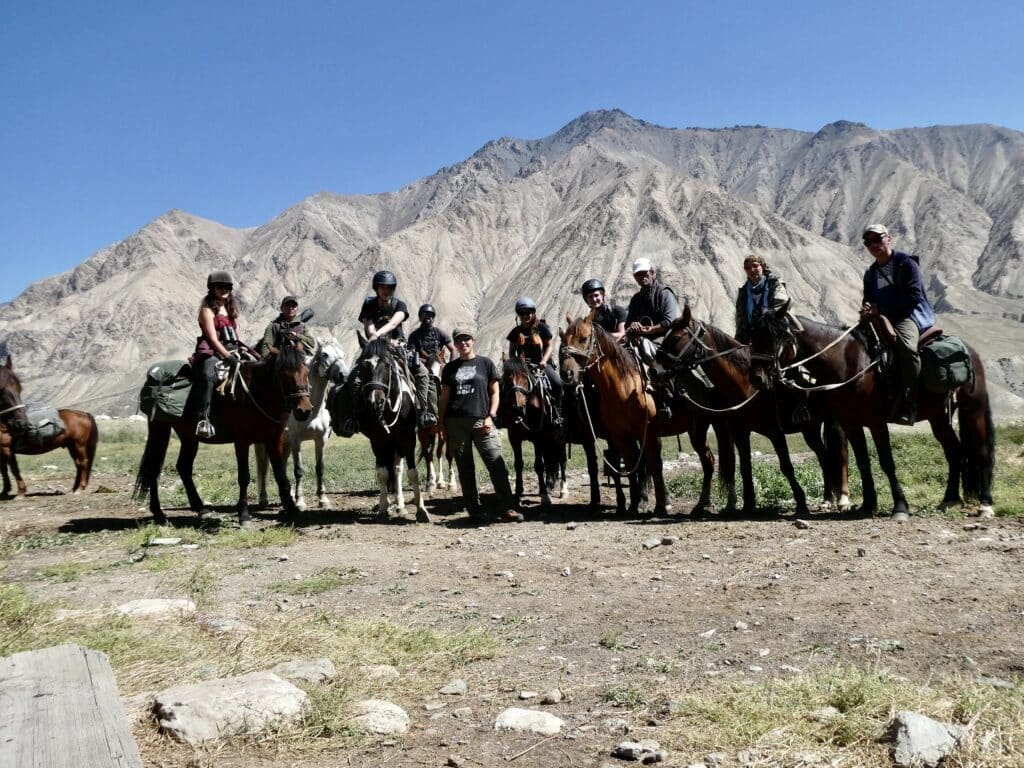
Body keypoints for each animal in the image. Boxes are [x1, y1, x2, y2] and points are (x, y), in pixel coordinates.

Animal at [136, 348, 311, 524]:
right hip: (160, 430)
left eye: (306, 371)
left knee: (183, 467)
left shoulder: (274, 439)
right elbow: (244, 477)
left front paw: (292, 509)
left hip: (188, 437)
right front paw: (244, 514)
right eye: (284, 374)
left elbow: (281, 475)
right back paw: (159, 514)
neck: (256, 392)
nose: (304, 410)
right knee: (153, 468)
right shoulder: (242, 441)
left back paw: (200, 508)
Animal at [354, 342, 430, 524]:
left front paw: (421, 509)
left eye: (387, 365)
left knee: (398, 469)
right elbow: (382, 474)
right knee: (391, 470)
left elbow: (412, 473)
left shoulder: (408, 439)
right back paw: (394, 504)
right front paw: (382, 508)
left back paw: (401, 504)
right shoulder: (377, 441)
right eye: (364, 366)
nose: (375, 401)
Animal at [501, 362, 569, 512]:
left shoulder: (538, 439)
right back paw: (549, 484)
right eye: (506, 379)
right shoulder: (514, 439)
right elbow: (518, 464)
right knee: (550, 460)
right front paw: (518, 493)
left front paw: (544, 496)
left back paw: (563, 490)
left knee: (562, 460)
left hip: (559, 438)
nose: (517, 407)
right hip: (548, 440)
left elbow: (539, 465)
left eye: (525, 377)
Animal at [655, 307, 847, 518]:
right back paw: (827, 499)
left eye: (675, 337)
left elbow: (786, 466)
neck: (746, 385)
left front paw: (801, 502)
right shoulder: (740, 432)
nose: (655, 370)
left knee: (833, 455)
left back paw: (837, 499)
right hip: (810, 429)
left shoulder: (775, 432)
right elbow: (745, 466)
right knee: (823, 456)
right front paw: (748, 504)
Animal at [749, 309, 995, 520]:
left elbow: (886, 461)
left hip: (973, 410)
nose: (757, 378)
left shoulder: (877, 423)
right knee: (954, 451)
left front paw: (900, 507)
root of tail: (971, 353)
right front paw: (868, 505)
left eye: (774, 337)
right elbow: (862, 462)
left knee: (981, 452)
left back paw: (985, 505)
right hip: (939, 417)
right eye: (753, 336)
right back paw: (949, 500)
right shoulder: (851, 422)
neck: (848, 363)